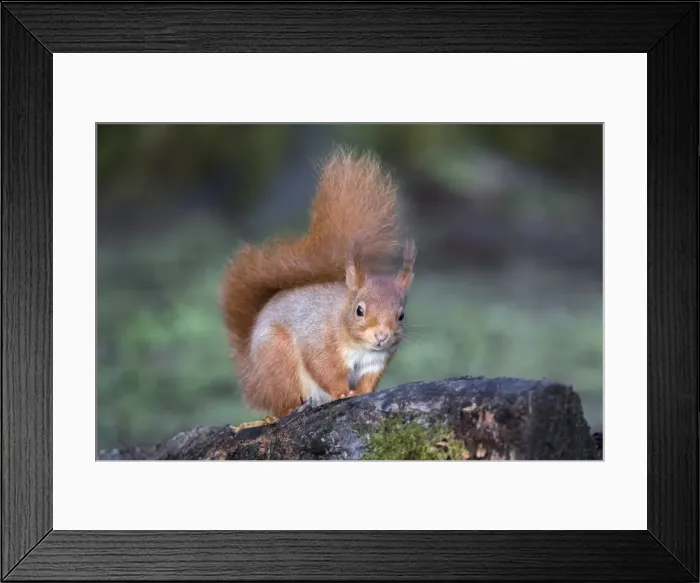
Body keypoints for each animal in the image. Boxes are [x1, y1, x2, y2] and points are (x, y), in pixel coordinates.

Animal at [220, 147, 416, 419]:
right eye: (359, 310)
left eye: (401, 315)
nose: (381, 335)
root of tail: (255, 381)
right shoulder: (319, 342)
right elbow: (326, 370)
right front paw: (343, 392)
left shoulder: (376, 361)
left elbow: (368, 380)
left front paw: (364, 393)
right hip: (279, 359)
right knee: (285, 403)